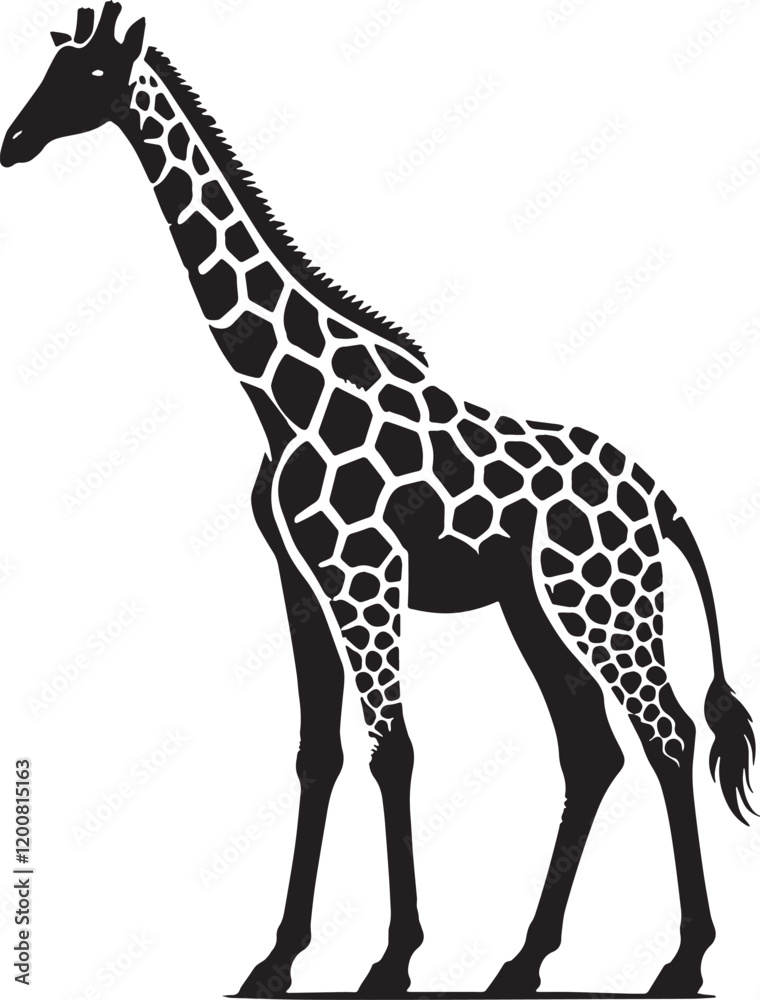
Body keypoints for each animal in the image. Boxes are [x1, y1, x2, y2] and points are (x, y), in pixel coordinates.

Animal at [1, 5, 756, 998]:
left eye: (85, 76)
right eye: (49, 66)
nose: (11, 142)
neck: (280, 392)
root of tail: (661, 500)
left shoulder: (366, 573)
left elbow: (390, 750)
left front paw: (392, 959)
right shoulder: (301, 576)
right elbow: (316, 754)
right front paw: (276, 958)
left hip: (604, 600)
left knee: (666, 733)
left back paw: (682, 960)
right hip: (533, 607)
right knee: (592, 751)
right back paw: (522, 962)